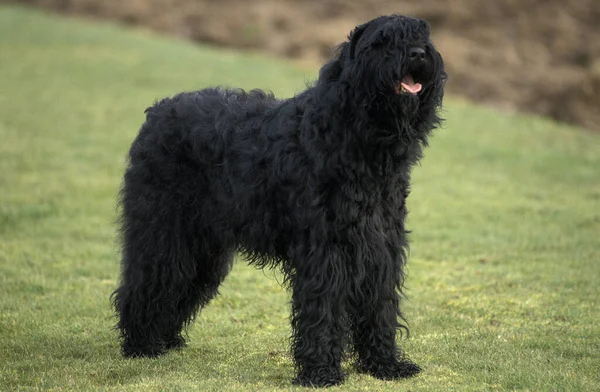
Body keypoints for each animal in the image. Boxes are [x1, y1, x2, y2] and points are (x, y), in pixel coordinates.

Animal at [115, 13, 446, 388]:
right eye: (383, 41)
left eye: (423, 36)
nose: (418, 54)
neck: (352, 132)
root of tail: (156, 115)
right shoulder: (325, 249)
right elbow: (323, 308)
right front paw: (321, 371)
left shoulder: (380, 246)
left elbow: (380, 306)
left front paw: (385, 364)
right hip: (164, 232)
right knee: (148, 281)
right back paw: (142, 343)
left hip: (203, 247)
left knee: (179, 286)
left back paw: (166, 338)